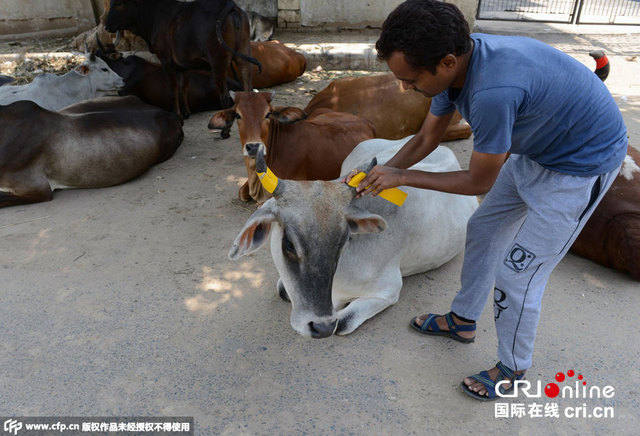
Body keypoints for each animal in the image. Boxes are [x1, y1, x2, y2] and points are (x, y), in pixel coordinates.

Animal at [228, 136, 478, 338]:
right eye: (289, 244)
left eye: (343, 240)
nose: (321, 327)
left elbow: (343, 323)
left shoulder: (389, 290)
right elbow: (282, 290)